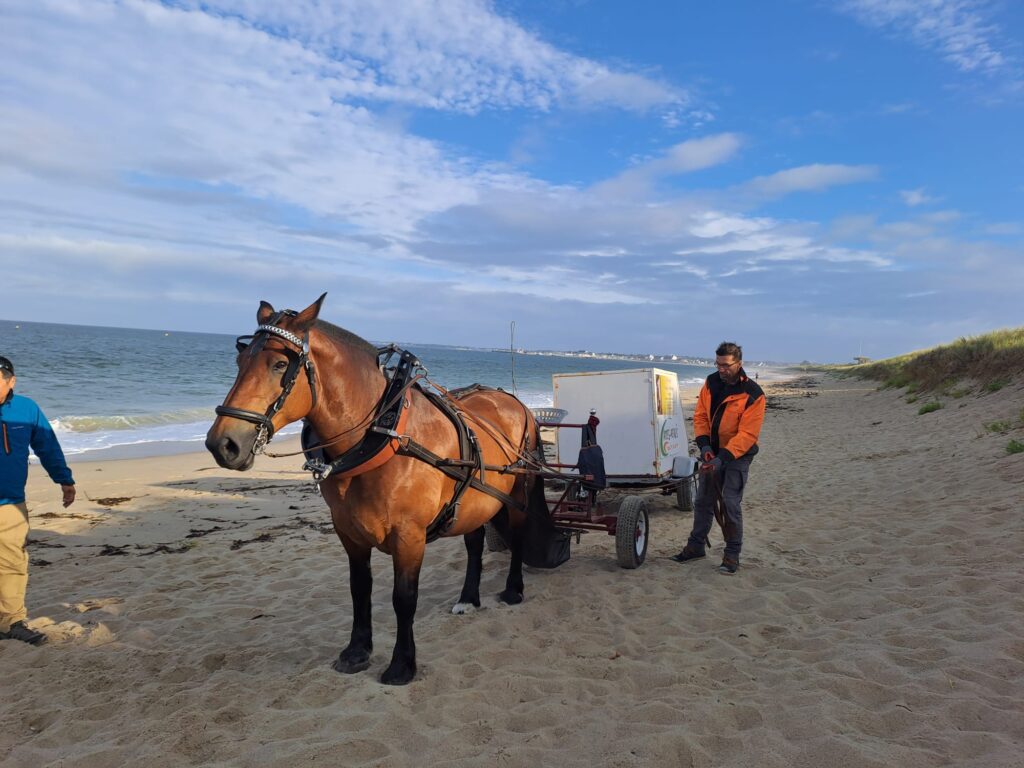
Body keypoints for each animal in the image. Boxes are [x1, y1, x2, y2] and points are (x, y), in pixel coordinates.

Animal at [202, 294, 548, 684]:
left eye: (279, 364)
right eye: (240, 361)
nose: (223, 444)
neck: (382, 435)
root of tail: (516, 402)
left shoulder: (409, 536)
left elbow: (404, 598)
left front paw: (402, 664)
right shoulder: (348, 531)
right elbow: (359, 589)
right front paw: (357, 651)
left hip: (517, 494)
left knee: (518, 535)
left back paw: (513, 589)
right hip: (473, 496)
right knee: (474, 541)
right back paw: (468, 598)